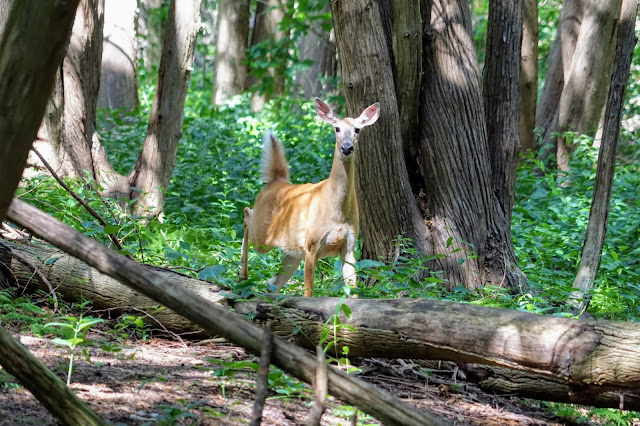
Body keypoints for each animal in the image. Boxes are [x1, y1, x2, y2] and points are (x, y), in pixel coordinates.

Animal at [239, 97, 380, 296]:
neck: (336, 210)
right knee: (246, 214)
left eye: (357, 129)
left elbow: (352, 290)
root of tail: (276, 181)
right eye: (336, 128)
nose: (347, 148)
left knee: (272, 282)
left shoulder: (349, 247)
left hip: (291, 252)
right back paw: (241, 275)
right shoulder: (311, 244)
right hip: (263, 236)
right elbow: (308, 291)